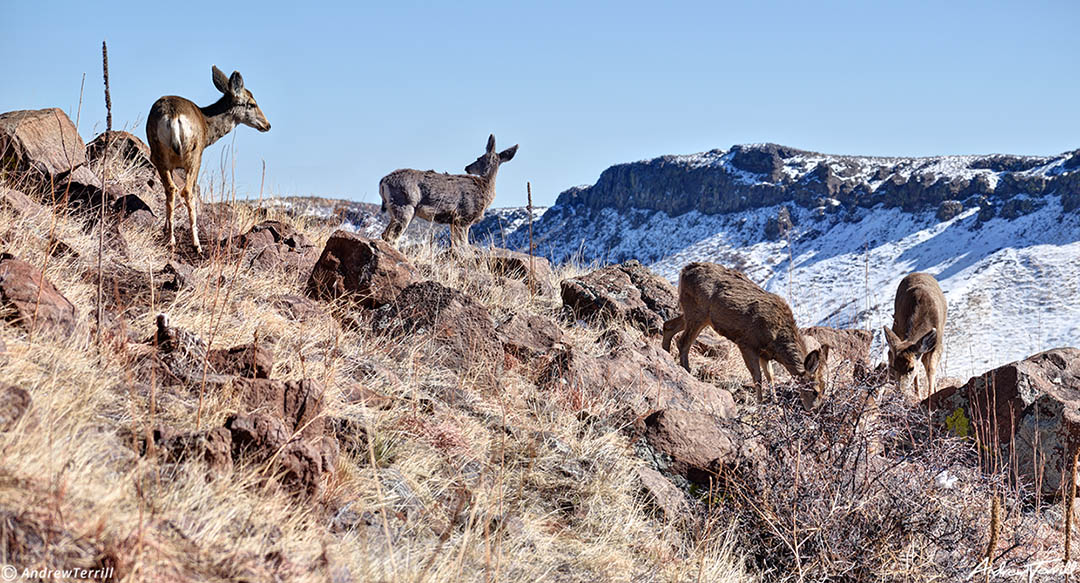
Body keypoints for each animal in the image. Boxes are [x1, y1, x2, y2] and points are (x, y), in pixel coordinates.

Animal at [145, 64, 270, 253]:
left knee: (171, 189)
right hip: (194, 157)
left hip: (158, 154)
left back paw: (170, 238)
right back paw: (196, 244)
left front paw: (166, 228)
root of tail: (173, 116)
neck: (207, 123)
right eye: (252, 103)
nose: (267, 125)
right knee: (187, 191)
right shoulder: (198, 157)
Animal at [378, 134, 516, 248]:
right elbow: (463, 245)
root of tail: (383, 181)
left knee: (385, 234)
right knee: (391, 237)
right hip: (404, 205)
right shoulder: (464, 216)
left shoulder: (454, 221)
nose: (467, 167)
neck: (484, 188)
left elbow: (456, 244)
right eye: (479, 157)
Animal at [656, 261, 825, 410]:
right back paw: (688, 373)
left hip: (694, 313)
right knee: (683, 342)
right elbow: (757, 377)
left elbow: (770, 376)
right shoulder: (747, 343)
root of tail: (684, 270)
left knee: (668, 326)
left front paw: (775, 404)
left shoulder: (765, 354)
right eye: (815, 391)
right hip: (697, 312)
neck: (778, 340)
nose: (813, 409)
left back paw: (666, 355)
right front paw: (760, 406)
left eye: (824, 390)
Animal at [885, 270, 946, 399]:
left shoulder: (938, 343)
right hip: (896, 322)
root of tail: (918, 272)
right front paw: (919, 396)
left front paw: (931, 394)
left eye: (911, 368)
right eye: (894, 367)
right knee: (890, 350)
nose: (901, 391)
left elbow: (930, 368)